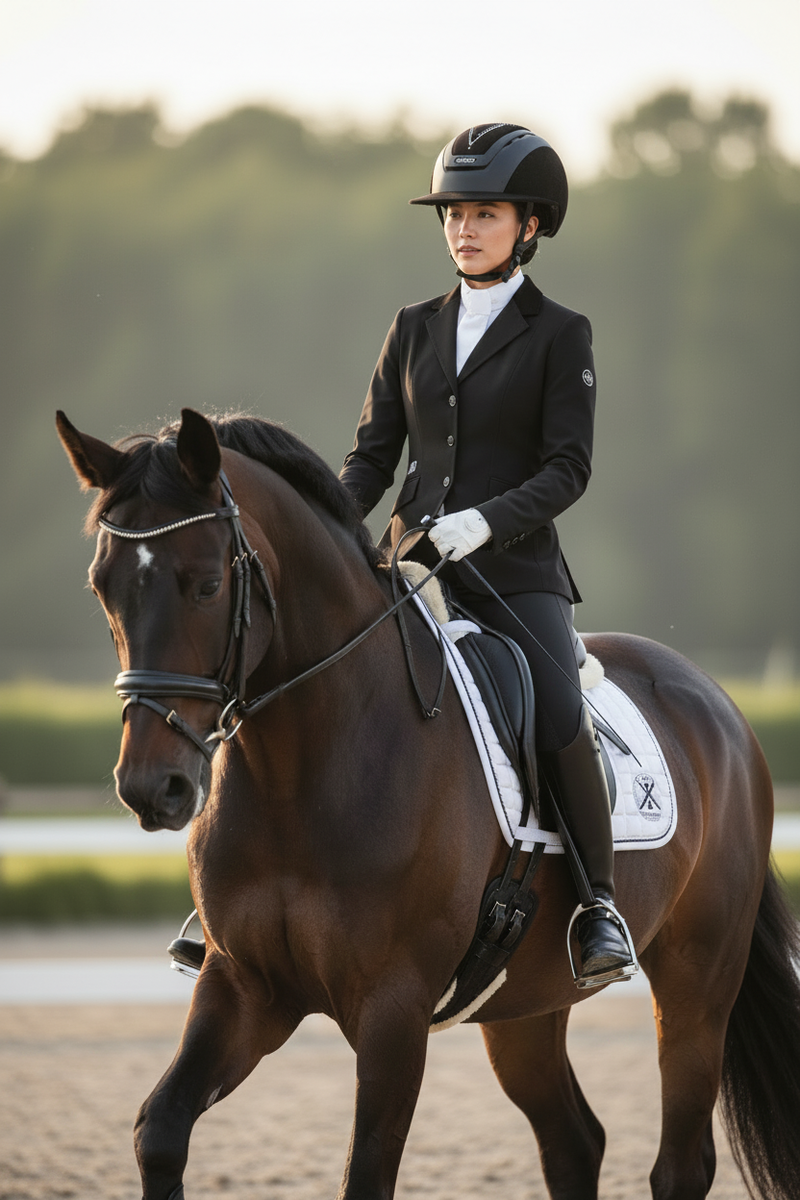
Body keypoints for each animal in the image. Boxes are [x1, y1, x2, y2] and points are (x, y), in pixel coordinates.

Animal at [56, 406, 800, 1200]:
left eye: (203, 585)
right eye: (102, 588)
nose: (151, 788)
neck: (305, 769)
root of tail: (717, 702)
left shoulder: (393, 1009)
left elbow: (367, 1171)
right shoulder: (245, 986)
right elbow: (160, 1130)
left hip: (698, 983)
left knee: (680, 1164)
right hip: (523, 1003)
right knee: (575, 1141)